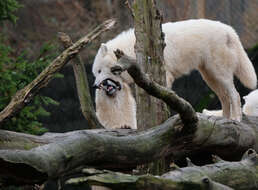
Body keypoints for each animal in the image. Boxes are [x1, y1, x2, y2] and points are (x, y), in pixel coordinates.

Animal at [92, 18, 256, 128]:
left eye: (99, 71)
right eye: (96, 73)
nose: (94, 85)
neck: (130, 50)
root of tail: (229, 29)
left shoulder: (163, 76)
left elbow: (160, 96)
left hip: (219, 73)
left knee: (234, 95)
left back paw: (235, 119)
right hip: (210, 77)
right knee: (224, 97)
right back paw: (223, 120)